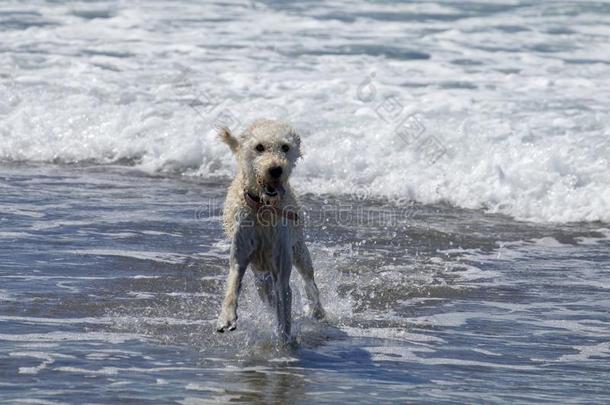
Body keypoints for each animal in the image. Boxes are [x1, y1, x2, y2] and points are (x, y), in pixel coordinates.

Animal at [216, 117, 326, 340]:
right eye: (259, 147)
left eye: (285, 147)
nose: (275, 169)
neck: (264, 208)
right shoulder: (240, 255)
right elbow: (233, 282)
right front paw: (226, 317)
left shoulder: (281, 270)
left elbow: (284, 307)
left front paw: (284, 341)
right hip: (260, 275)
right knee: (266, 292)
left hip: (299, 251)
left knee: (309, 281)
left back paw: (317, 310)